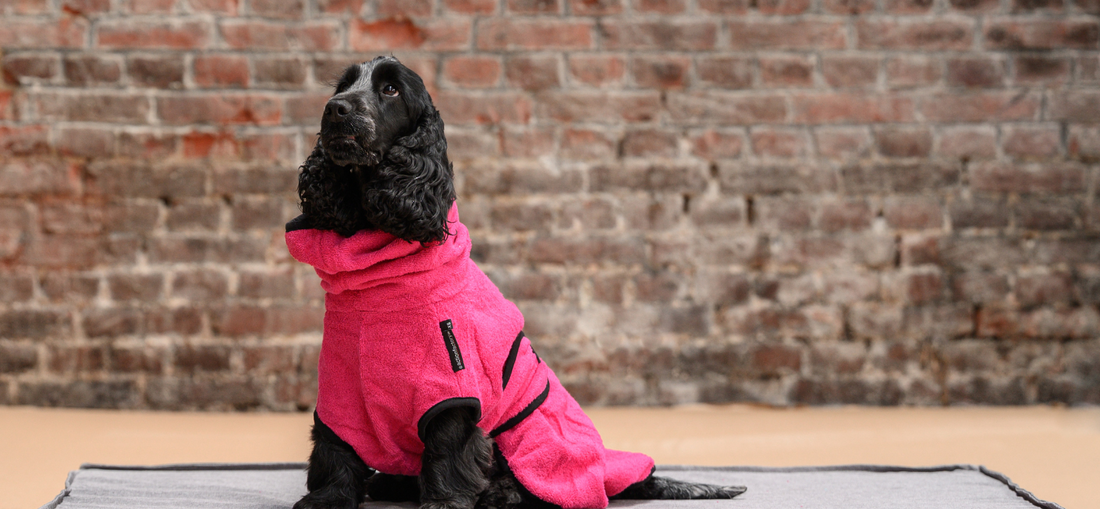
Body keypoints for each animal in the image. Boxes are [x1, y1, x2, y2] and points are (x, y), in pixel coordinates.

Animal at [286, 56, 746, 509]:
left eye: (390, 89)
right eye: (342, 86)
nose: (336, 109)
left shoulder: (454, 387)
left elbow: (449, 449)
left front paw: (445, 502)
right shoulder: (341, 383)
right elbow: (334, 445)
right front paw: (327, 499)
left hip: (532, 440)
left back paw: (500, 493)